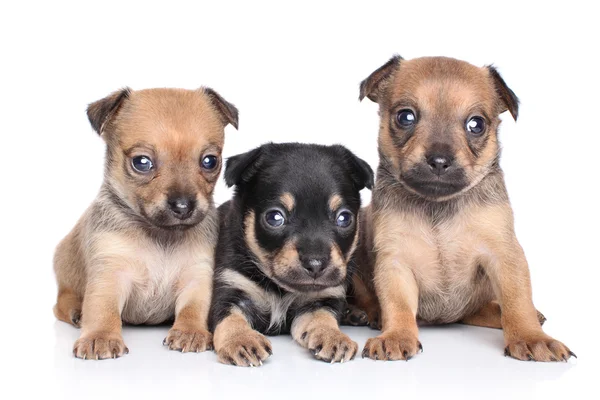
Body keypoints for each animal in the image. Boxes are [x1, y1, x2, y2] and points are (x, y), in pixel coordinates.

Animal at [51, 86, 238, 360]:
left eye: (210, 161)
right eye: (141, 162)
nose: (183, 206)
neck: (160, 235)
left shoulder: (197, 276)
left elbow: (194, 307)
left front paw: (190, 331)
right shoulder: (109, 272)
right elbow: (102, 308)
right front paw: (100, 336)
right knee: (62, 302)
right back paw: (75, 311)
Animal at [209, 143, 372, 366]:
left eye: (344, 218)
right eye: (274, 217)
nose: (315, 263)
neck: (280, 288)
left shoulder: (318, 302)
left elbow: (323, 317)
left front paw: (333, 336)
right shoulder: (230, 289)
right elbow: (230, 317)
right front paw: (242, 340)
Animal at [352, 55, 576, 362]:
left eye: (476, 124)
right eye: (405, 117)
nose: (439, 160)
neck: (438, 205)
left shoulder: (504, 255)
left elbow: (517, 300)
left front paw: (532, 338)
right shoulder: (394, 262)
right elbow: (397, 304)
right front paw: (396, 335)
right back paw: (371, 314)